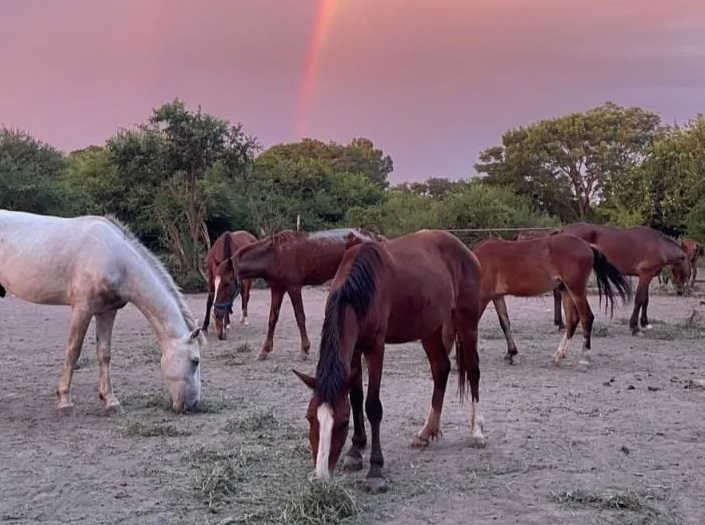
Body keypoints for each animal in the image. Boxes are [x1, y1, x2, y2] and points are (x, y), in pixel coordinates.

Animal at [0, 210, 205, 415]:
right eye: (195, 361)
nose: (193, 405)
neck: (114, 257)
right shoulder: (82, 308)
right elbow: (73, 351)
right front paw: (65, 401)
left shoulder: (107, 311)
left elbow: (104, 353)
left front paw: (110, 401)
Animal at [232, 227, 387, 361]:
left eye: (226, 283)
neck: (275, 254)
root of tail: (375, 237)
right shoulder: (277, 288)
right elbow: (272, 319)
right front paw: (264, 351)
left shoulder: (294, 287)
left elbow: (300, 317)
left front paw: (304, 350)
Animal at [293, 229, 485, 491]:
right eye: (310, 418)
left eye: (342, 423)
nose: (321, 476)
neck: (359, 290)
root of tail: (463, 248)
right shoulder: (355, 349)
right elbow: (356, 397)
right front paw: (355, 450)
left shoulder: (375, 347)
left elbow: (373, 405)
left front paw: (375, 470)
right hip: (430, 327)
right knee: (441, 369)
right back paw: (426, 432)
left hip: (467, 320)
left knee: (473, 370)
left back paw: (476, 433)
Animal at [473, 234, 632, 370]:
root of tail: (587, 245)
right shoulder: (496, 296)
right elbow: (505, 323)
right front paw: (511, 353)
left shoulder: (483, 297)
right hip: (566, 291)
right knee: (572, 320)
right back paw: (558, 356)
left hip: (576, 291)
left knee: (586, 318)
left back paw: (584, 360)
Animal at [553, 223, 690, 335]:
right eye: (688, 273)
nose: (680, 291)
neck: (659, 245)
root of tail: (562, 231)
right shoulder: (645, 275)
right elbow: (639, 299)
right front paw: (635, 327)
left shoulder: (647, 277)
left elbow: (645, 300)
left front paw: (645, 324)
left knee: (558, 295)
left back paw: (560, 323)